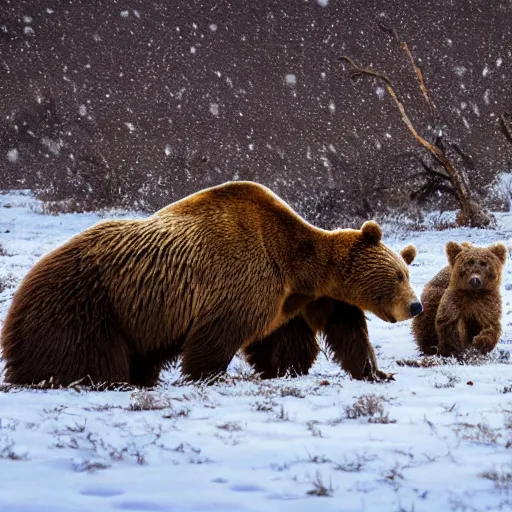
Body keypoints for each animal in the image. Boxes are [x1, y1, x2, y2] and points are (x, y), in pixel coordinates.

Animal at [0, 179, 422, 384]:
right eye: (398, 275)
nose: (415, 305)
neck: (296, 263)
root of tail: (22, 288)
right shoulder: (243, 278)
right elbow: (219, 333)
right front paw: (210, 375)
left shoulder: (302, 298)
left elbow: (331, 334)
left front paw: (377, 372)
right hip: (89, 303)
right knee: (89, 355)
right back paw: (105, 381)